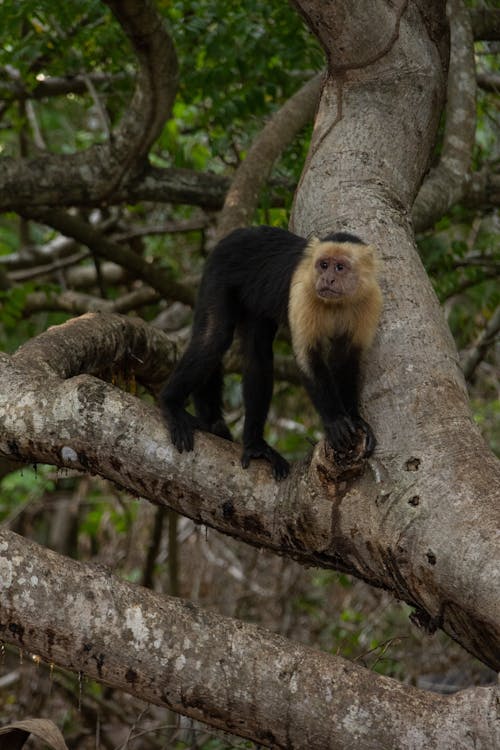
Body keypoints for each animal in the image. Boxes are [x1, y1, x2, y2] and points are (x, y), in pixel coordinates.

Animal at [160, 226, 382, 478]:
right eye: (324, 265)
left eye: (340, 267)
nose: (327, 279)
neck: (337, 302)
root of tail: (239, 233)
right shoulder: (302, 292)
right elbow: (308, 359)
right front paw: (335, 422)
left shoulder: (370, 298)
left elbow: (345, 360)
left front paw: (355, 419)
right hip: (220, 271)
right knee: (213, 338)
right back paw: (170, 404)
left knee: (258, 354)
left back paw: (254, 445)